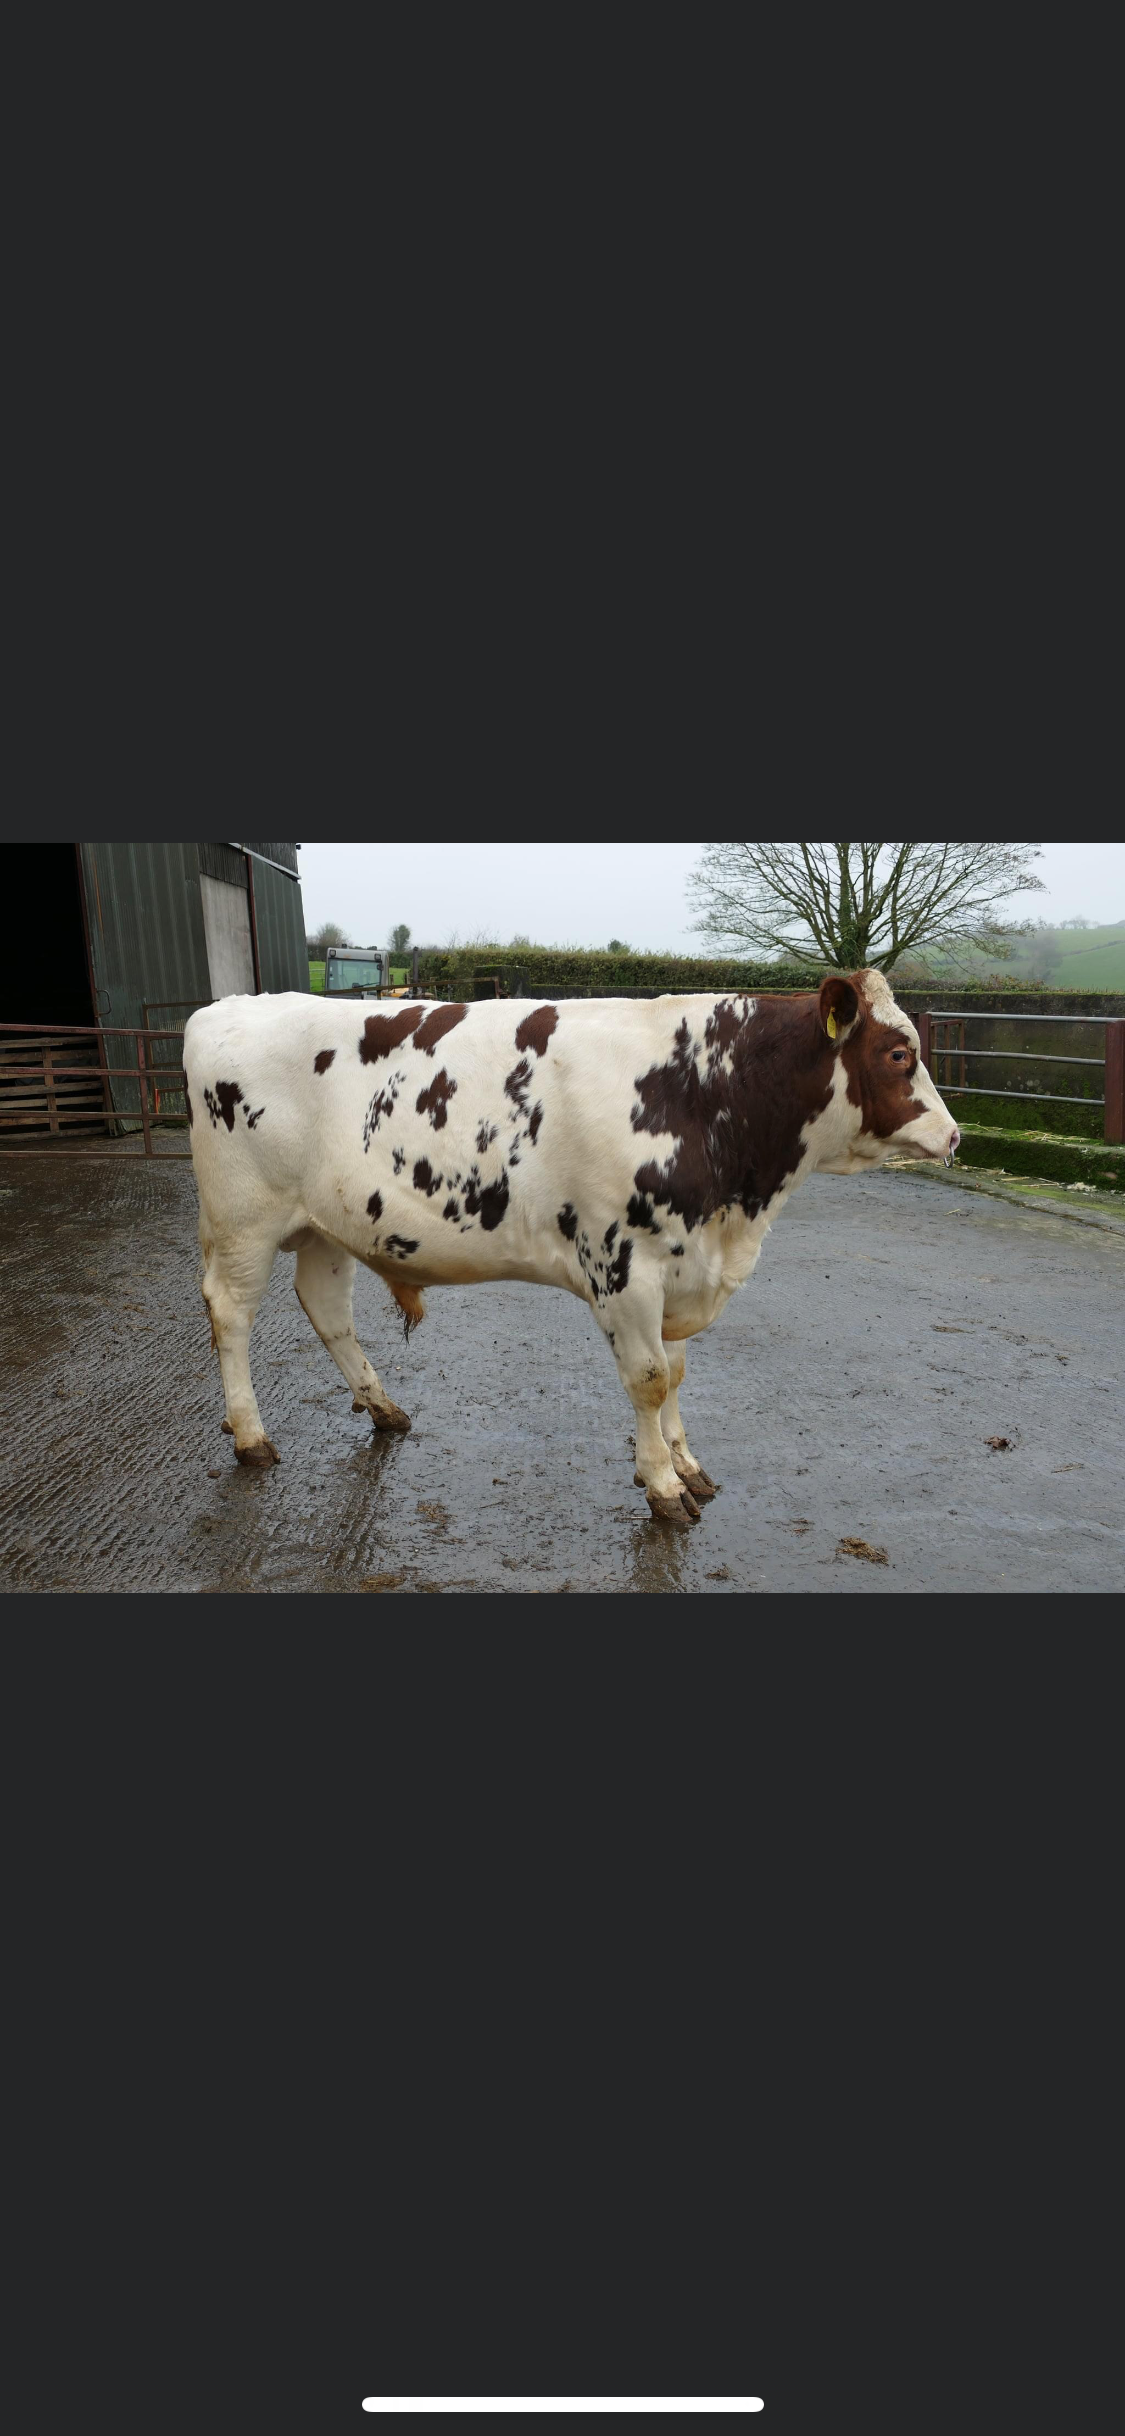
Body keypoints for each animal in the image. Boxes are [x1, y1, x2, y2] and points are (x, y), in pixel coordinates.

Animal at [184, 968, 958, 1525]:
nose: (953, 1135)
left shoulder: (680, 1263)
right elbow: (648, 1380)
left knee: (327, 1310)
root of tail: (221, 1009)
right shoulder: (624, 1266)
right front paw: (661, 1484)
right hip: (245, 1217)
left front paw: (686, 1464)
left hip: (330, 1223)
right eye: (898, 1053)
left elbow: (677, 1376)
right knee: (231, 1313)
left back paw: (384, 1410)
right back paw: (250, 1436)